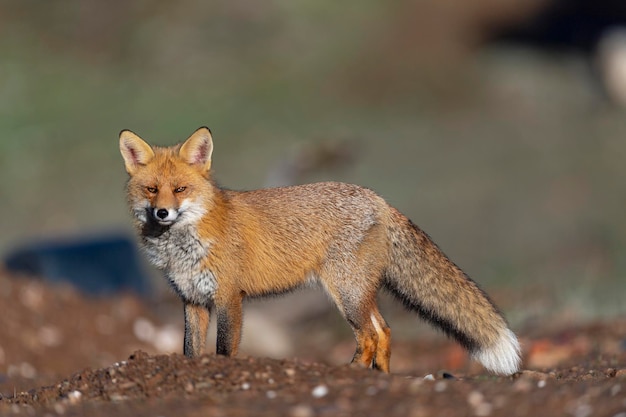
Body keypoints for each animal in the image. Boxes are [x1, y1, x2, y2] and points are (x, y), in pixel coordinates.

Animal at [119, 127, 520, 374]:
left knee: (370, 335)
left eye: (181, 189)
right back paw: (379, 378)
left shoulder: (229, 297)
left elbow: (223, 350)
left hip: (345, 293)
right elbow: (190, 351)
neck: (184, 246)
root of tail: (378, 199)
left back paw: (354, 372)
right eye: (152, 189)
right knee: (385, 331)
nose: (162, 212)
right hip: (357, 293)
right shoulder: (192, 300)